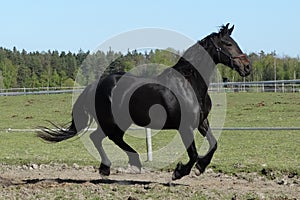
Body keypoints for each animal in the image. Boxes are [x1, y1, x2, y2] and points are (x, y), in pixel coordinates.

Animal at [38, 23, 252, 181]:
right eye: (228, 43)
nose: (247, 67)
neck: (189, 84)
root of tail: (95, 85)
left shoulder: (201, 122)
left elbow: (213, 145)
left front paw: (200, 167)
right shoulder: (184, 127)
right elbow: (192, 153)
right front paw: (179, 172)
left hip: (119, 122)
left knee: (99, 138)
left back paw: (112, 167)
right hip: (113, 122)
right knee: (103, 138)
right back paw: (129, 164)